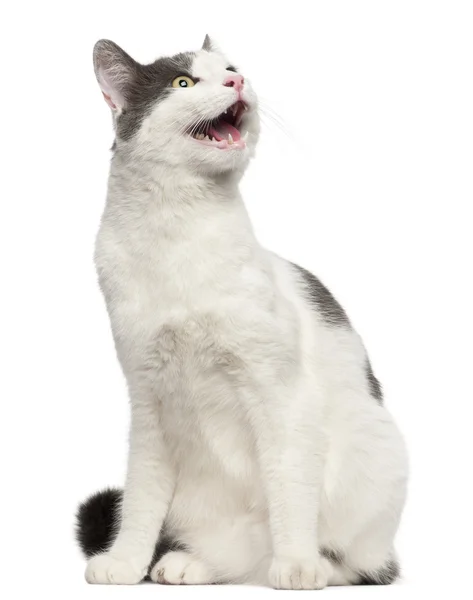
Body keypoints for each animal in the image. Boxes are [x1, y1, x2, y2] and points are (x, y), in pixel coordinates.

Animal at [75, 36, 408, 592]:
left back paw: (310, 564)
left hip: (376, 461)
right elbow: (141, 497)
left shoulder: (279, 394)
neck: (177, 232)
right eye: (184, 82)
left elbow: (289, 491)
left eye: (231, 68)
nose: (237, 82)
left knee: (360, 562)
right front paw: (125, 561)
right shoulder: (147, 401)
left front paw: (297, 565)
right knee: (234, 554)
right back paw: (188, 563)